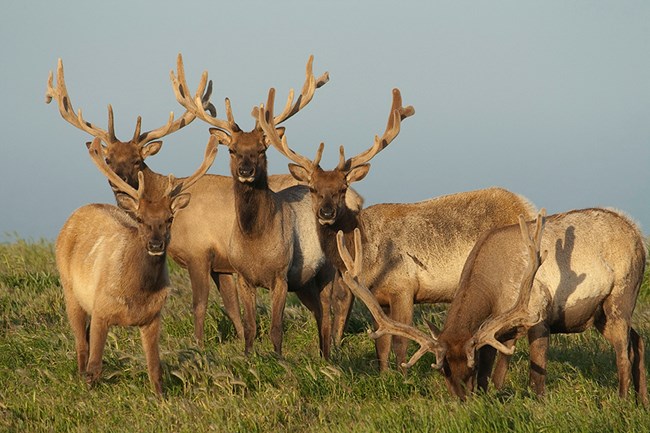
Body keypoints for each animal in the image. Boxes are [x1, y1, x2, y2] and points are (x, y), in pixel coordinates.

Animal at [45, 55, 296, 346]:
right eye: (108, 159)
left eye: (137, 161)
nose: (118, 181)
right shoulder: (222, 265)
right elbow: (233, 308)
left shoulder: (200, 252)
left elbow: (199, 304)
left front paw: (199, 345)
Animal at [56, 136, 218, 394]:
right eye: (140, 219)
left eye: (169, 218)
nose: (156, 244)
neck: (136, 292)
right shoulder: (101, 309)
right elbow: (95, 366)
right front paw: (89, 391)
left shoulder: (153, 317)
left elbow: (155, 368)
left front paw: (160, 396)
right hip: (70, 290)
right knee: (81, 344)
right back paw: (79, 375)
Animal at [172, 54, 334, 358]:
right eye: (232, 149)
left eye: (261, 149)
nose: (246, 170)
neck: (256, 241)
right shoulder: (244, 277)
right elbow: (249, 327)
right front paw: (248, 357)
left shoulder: (280, 275)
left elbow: (276, 328)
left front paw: (279, 360)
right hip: (305, 282)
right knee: (319, 313)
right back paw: (321, 355)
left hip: (329, 269)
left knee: (330, 312)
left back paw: (329, 356)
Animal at [258, 88, 536, 372]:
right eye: (313, 189)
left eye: (342, 189)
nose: (327, 213)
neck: (364, 252)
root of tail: (527, 208)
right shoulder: (376, 296)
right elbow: (382, 344)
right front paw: (383, 373)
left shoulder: (404, 287)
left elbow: (401, 343)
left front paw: (403, 372)